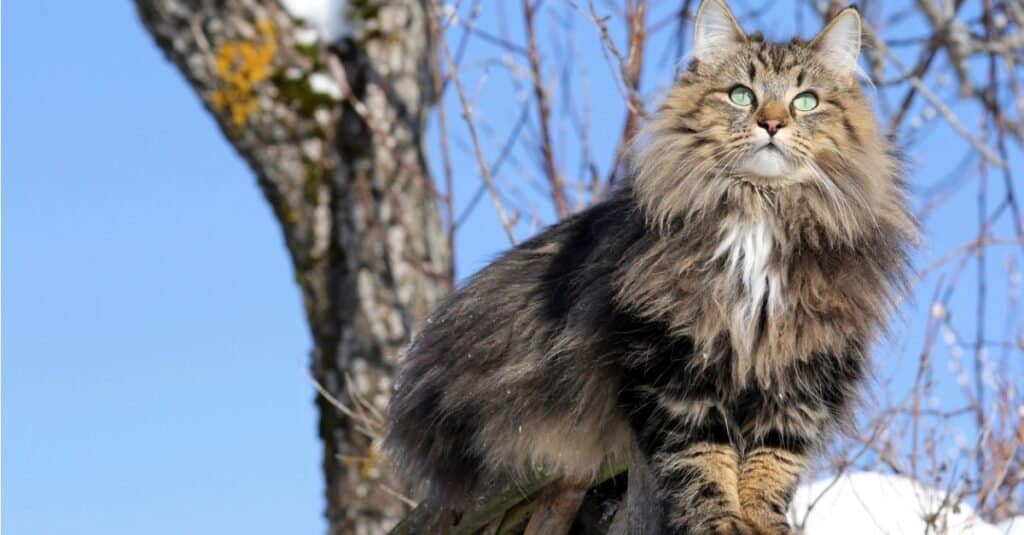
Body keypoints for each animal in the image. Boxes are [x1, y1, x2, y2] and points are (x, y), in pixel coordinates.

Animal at [387, 2, 917, 528]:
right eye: (741, 95)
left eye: (805, 101)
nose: (771, 124)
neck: (761, 212)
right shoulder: (673, 365)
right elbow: (703, 461)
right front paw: (720, 521)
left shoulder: (803, 374)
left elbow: (773, 465)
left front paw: (764, 522)